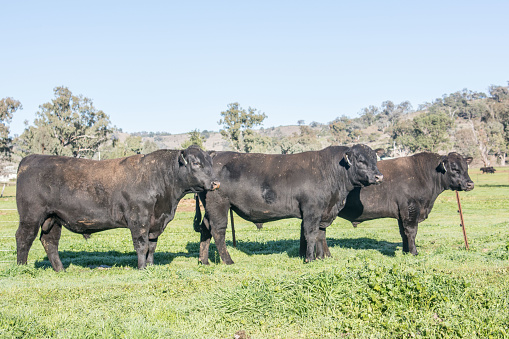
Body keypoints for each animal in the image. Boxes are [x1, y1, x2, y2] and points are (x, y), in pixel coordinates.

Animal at [15, 147, 218, 272]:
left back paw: (61, 269)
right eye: (196, 163)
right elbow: (142, 245)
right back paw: (21, 267)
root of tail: (29, 159)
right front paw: (142, 268)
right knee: (24, 238)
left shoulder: (155, 223)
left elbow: (152, 247)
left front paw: (150, 266)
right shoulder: (139, 220)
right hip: (31, 216)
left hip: (53, 218)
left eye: (210, 163)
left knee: (49, 242)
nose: (216, 183)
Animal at [194, 145, 380, 264]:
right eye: (360, 159)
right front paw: (310, 259)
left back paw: (204, 261)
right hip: (218, 205)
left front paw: (321, 258)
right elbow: (311, 234)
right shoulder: (312, 210)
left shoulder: (323, 212)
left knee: (205, 229)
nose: (379, 176)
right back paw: (228, 261)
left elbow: (321, 235)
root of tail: (213, 154)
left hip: (210, 208)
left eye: (375, 159)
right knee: (218, 231)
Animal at [314, 153, 472, 256]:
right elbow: (411, 231)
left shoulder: (402, 213)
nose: (470, 184)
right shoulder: (411, 208)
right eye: (454, 168)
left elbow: (403, 233)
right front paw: (414, 252)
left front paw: (405, 251)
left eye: (466, 167)